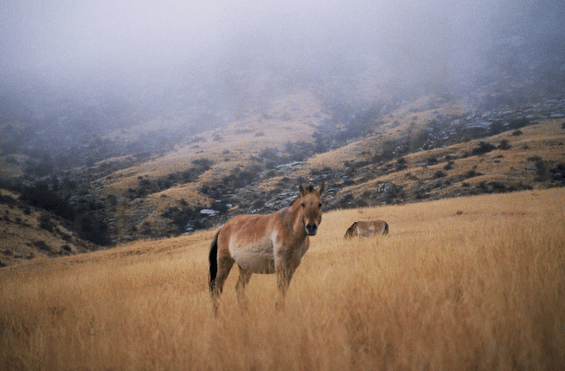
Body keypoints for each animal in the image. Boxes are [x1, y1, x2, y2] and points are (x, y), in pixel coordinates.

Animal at [208, 183, 324, 314]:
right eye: (303, 204)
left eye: (320, 204)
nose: (311, 228)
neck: (290, 228)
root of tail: (223, 228)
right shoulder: (280, 263)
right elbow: (281, 287)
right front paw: (279, 310)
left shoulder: (292, 265)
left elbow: (284, 288)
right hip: (224, 263)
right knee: (217, 289)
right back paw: (217, 314)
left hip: (245, 268)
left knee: (239, 288)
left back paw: (245, 313)